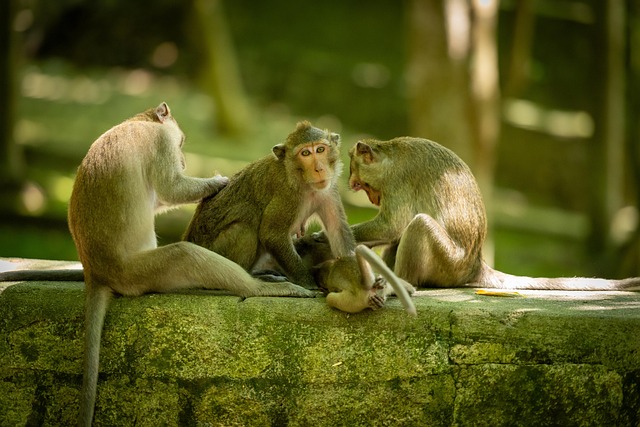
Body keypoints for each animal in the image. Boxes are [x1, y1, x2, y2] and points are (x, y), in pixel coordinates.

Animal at [38, 103, 314, 427]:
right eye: (180, 143)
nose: (183, 160)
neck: (139, 121)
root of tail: (96, 272)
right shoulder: (159, 143)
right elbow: (172, 190)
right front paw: (218, 182)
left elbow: (163, 198)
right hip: (141, 271)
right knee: (185, 254)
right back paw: (259, 288)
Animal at [183, 121, 356, 289]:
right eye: (305, 153)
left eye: (320, 149)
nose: (319, 169)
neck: (302, 181)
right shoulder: (286, 194)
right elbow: (272, 235)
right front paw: (309, 283)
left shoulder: (329, 189)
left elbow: (337, 230)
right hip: (211, 257)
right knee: (248, 216)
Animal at [348, 137, 640, 291]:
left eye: (361, 183)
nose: (355, 187)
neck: (391, 156)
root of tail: (475, 265)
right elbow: (393, 232)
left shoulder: (398, 181)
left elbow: (393, 226)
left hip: (449, 264)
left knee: (418, 225)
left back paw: (403, 283)